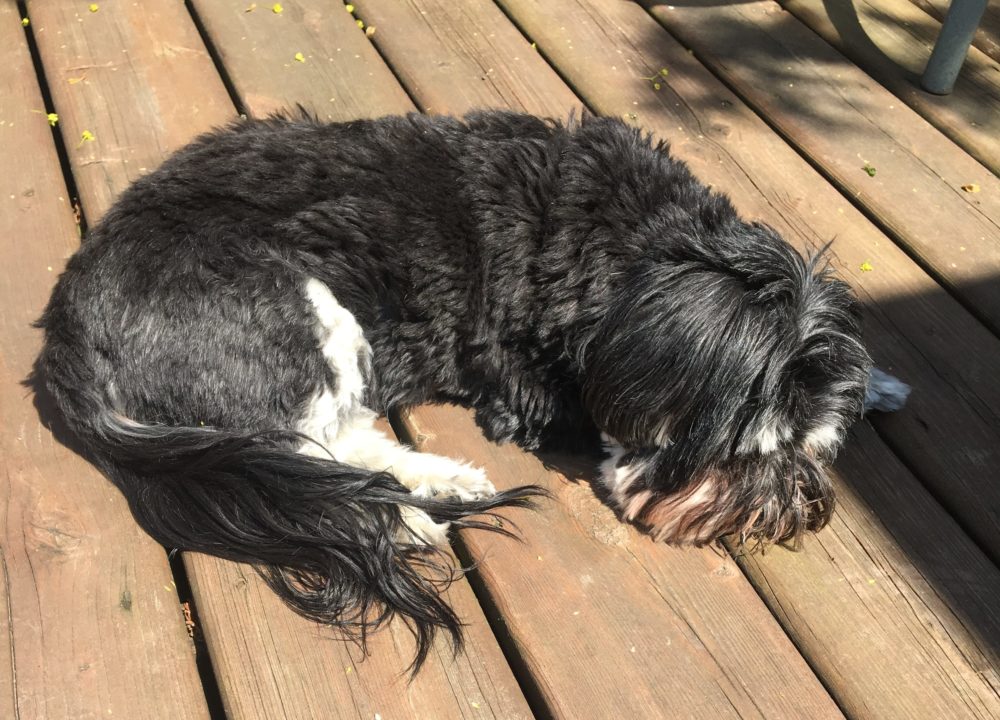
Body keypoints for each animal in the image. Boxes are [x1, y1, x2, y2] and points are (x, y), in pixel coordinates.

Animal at [37, 109, 868, 668]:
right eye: (746, 444)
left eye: (818, 442)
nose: (795, 506)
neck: (630, 253)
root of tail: (68, 327)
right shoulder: (524, 386)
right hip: (300, 312)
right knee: (304, 456)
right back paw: (399, 515)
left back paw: (437, 486)